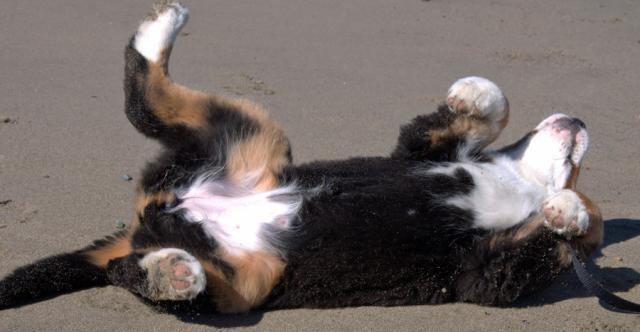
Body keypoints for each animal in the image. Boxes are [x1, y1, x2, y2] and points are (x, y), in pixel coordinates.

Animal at [0, 1, 600, 314]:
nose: (580, 121)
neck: (518, 180)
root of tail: (149, 222)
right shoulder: (418, 150)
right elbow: (492, 105)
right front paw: (472, 93)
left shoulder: (486, 271)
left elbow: (554, 243)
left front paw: (566, 212)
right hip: (251, 140)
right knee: (142, 101)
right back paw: (161, 28)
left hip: (241, 275)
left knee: (134, 271)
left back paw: (171, 272)